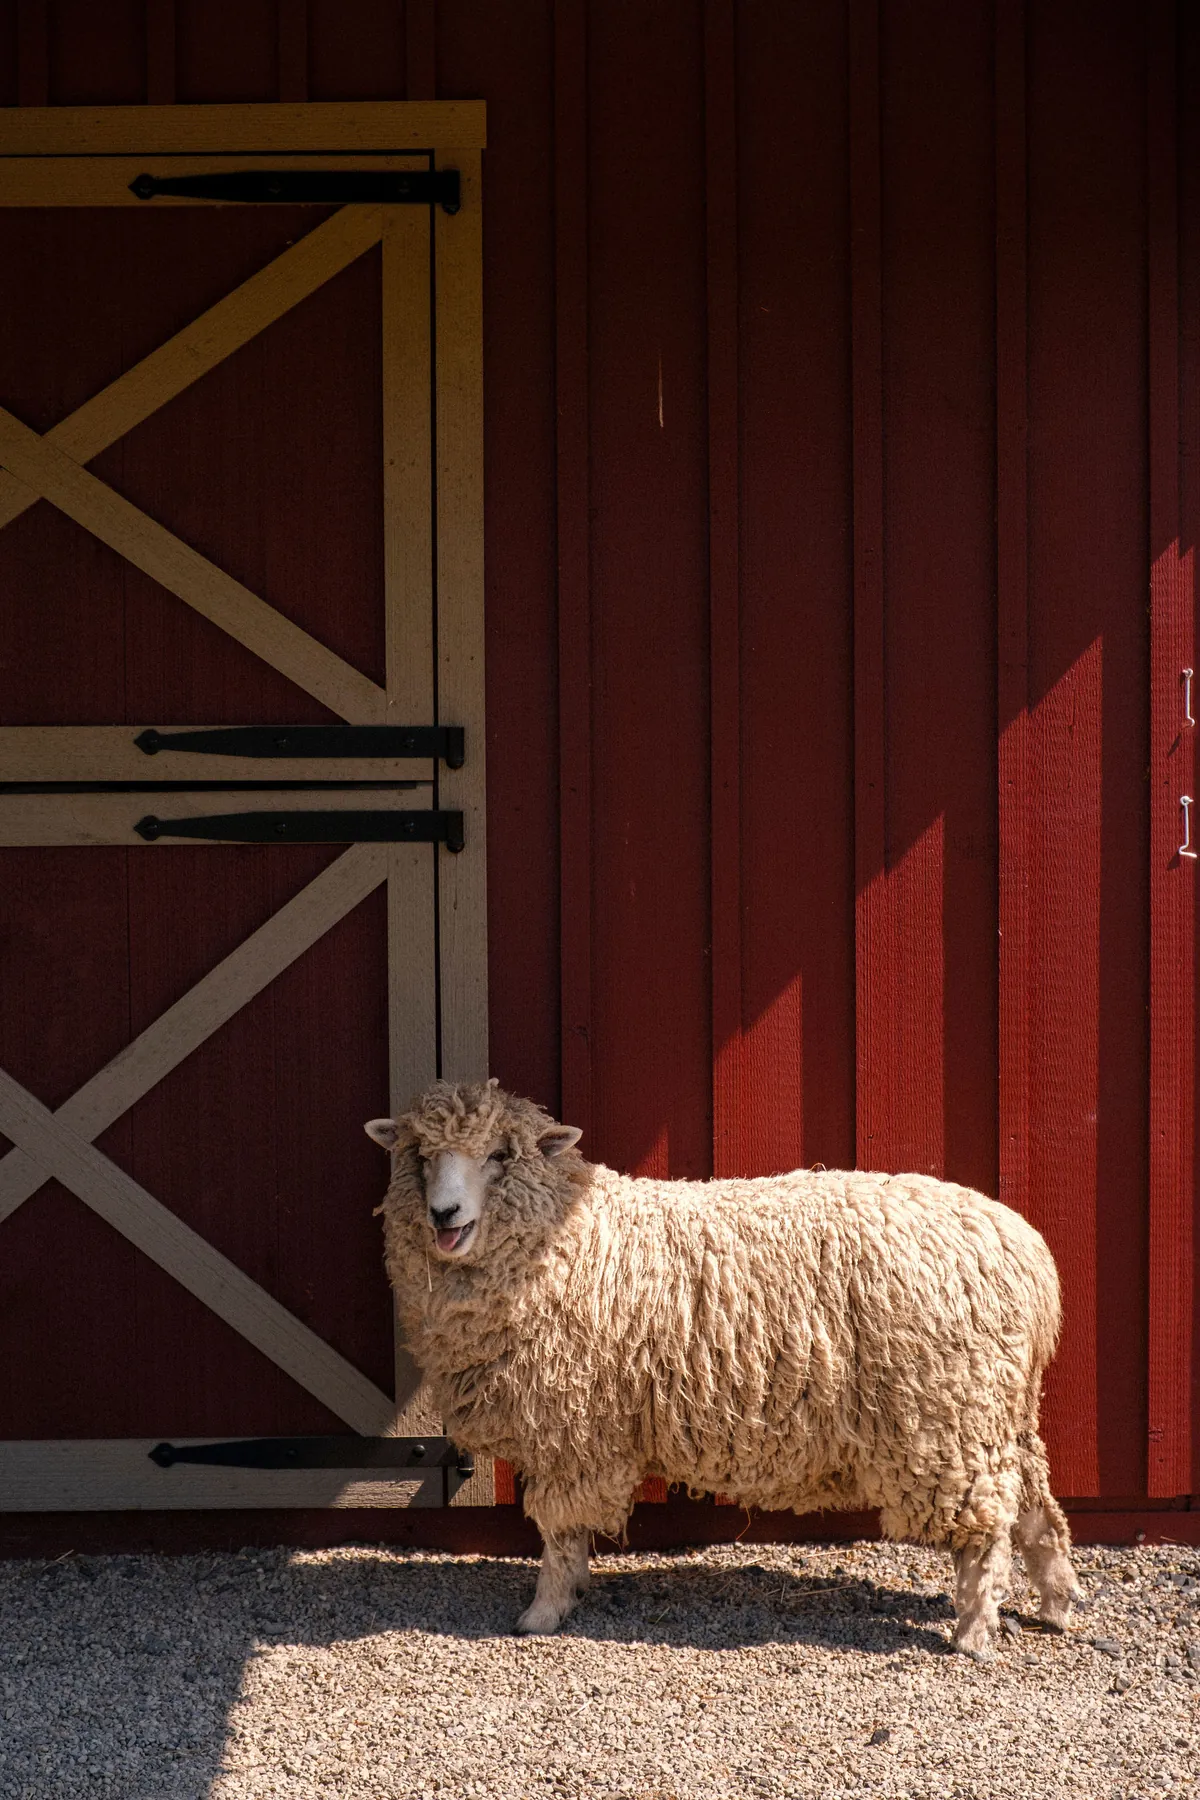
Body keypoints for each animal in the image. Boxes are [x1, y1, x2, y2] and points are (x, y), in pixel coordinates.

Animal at [365, 1079, 1080, 1659]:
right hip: (997, 1411)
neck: (569, 1239)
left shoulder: (573, 1427)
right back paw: (1056, 1605)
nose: (443, 1214)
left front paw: (543, 1611)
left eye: (501, 1155)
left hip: (947, 1419)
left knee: (986, 1532)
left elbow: (561, 1527)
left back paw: (974, 1632)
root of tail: (1025, 1252)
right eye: (420, 1156)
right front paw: (570, 1592)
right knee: (1038, 1512)